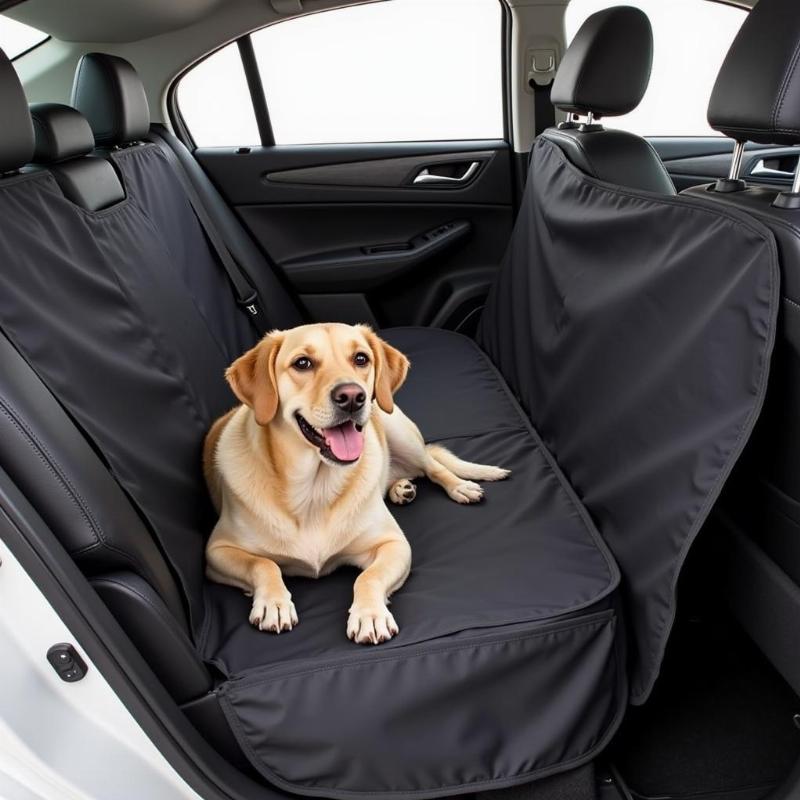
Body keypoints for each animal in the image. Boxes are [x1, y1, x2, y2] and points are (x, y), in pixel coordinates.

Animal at [203, 324, 510, 644]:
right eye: (302, 363)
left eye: (361, 358)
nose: (352, 396)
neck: (314, 489)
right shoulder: (217, 552)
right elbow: (264, 563)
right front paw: (274, 603)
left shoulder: (394, 545)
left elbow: (368, 577)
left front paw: (370, 615)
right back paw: (401, 488)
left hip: (399, 431)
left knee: (433, 466)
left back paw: (459, 486)